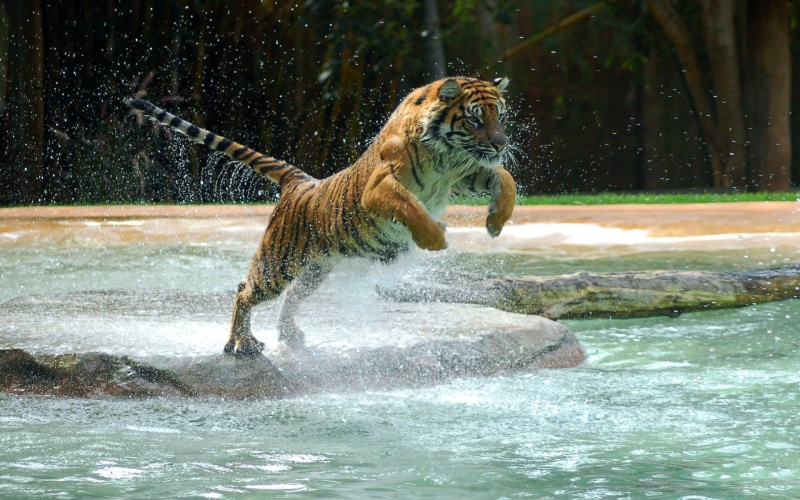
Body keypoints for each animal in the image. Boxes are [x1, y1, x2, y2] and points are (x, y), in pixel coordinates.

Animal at [126, 76, 516, 356]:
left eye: (500, 116)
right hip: (278, 263)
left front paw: (495, 221)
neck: (446, 156)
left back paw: (290, 337)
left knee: (291, 299)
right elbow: (410, 206)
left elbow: (504, 178)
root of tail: (300, 181)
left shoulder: (466, 174)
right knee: (244, 291)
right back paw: (241, 344)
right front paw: (435, 237)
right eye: (475, 118)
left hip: (316, 269)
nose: (502, 144)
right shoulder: (379, 187)